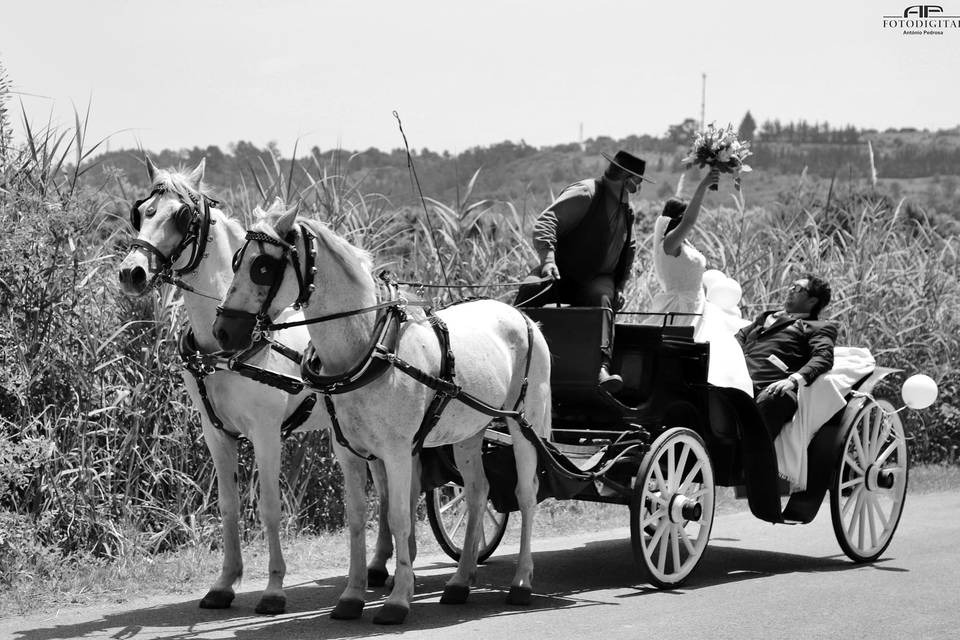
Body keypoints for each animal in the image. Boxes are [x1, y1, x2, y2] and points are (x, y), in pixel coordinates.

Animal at [119, 159, 404, 616]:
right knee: (383, 483)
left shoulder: (266, 433)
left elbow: (269, 507)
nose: (132, 272)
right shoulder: (215, 433)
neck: (224, 349)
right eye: (141, 212)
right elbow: (229, 506)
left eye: (182, 217)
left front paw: (273, 588)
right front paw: (223, 584)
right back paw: (377, 567)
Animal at [214, 206, 552, 624]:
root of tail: (520, 315)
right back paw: (460, 580)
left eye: (262, 267)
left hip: (524, 424)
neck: (370, 347)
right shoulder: (348, 453)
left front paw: (398, 599)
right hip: (468, 433)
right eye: (235, 260)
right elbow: (358, 517)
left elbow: (399, 516)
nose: (222, 331)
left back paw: (521, 581)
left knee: (525, 494)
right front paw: (353, 594)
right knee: (477, 494)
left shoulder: (397, 452)